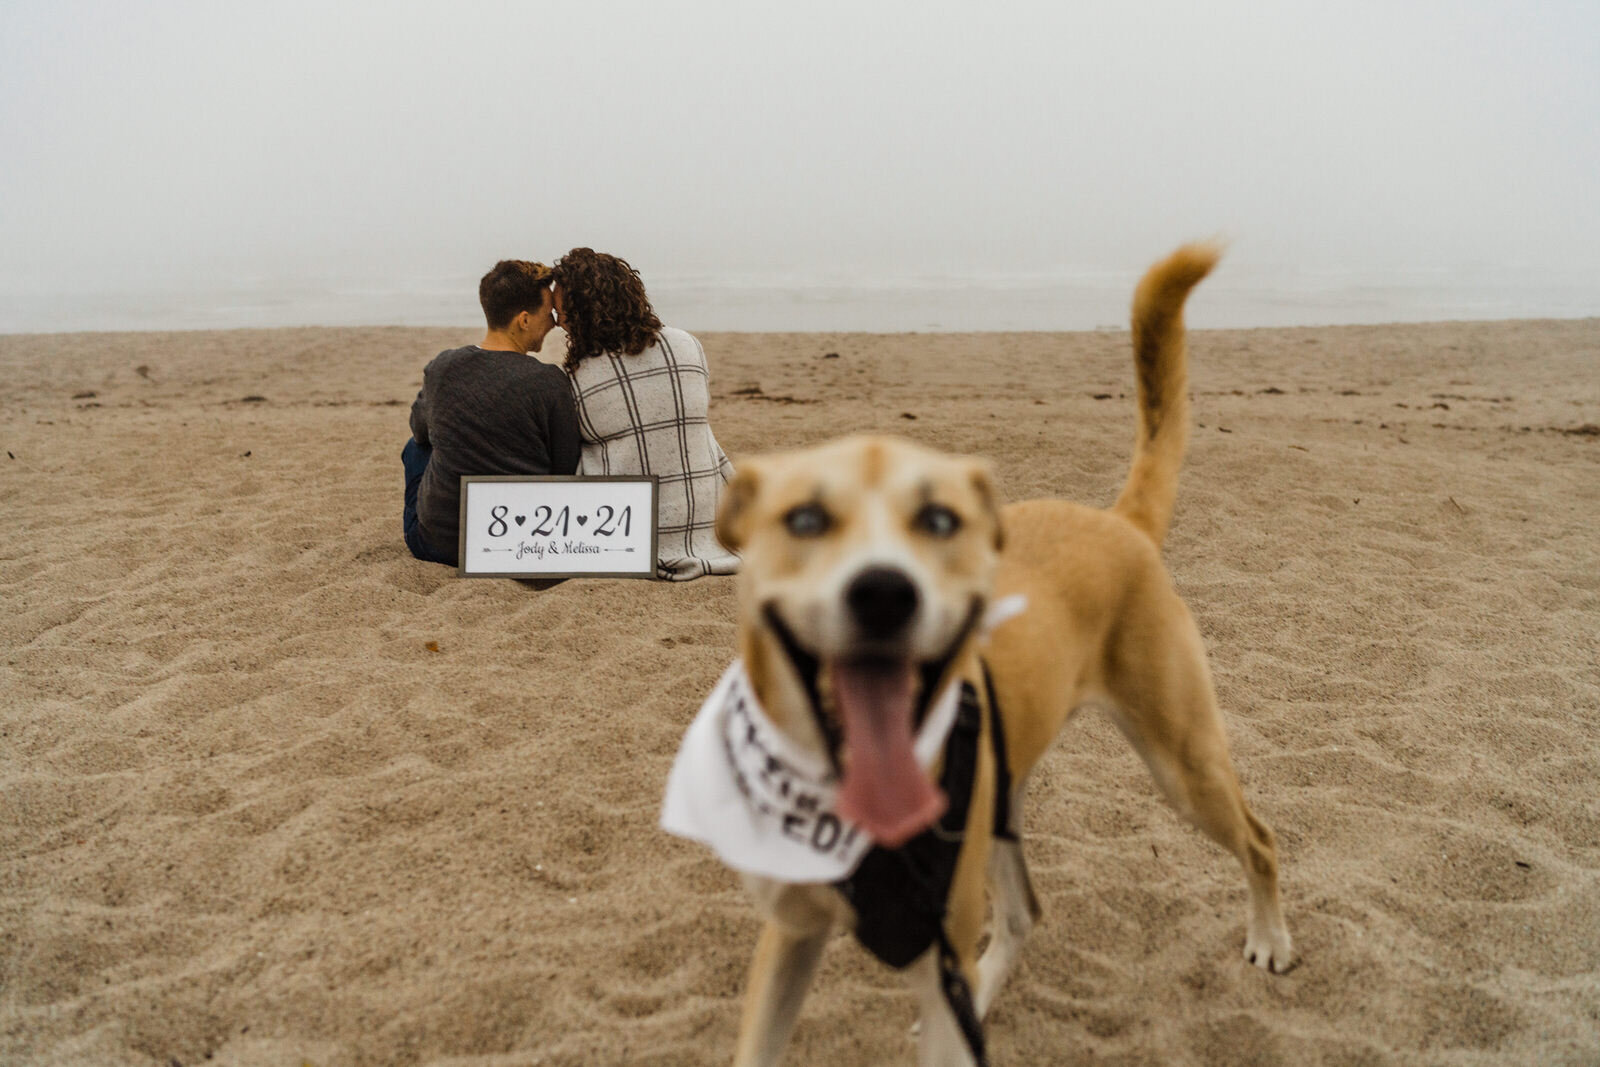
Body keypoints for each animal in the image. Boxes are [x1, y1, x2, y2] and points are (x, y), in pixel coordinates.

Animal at [713, 246, 1286, 1062]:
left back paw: (1270, 939)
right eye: (806, 519)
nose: (885, 593)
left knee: (1260, 840)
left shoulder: (933, 948)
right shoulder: (791, 934)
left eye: (938, 520)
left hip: (1183, 764)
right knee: (1022, 914)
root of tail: (1120, 522)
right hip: (1004, 798)